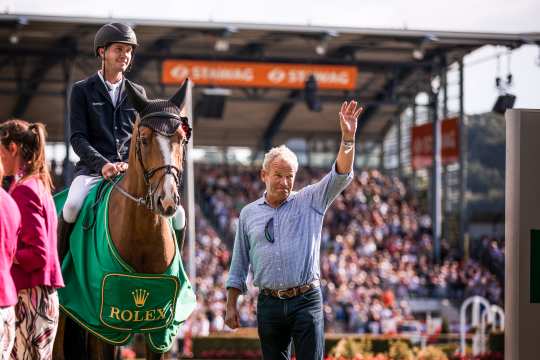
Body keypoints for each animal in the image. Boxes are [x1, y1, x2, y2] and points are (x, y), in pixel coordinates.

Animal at [52, 79, 195, 360]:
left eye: (182, 139)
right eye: (144, 139)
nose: (167, 201)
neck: (143, 235)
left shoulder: (158, 327)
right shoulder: (106, 324)